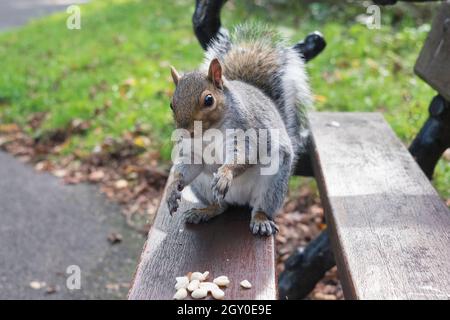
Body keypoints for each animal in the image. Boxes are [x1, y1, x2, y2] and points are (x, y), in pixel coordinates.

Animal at [167, 23, 312, 236]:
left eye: (208, 100)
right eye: (171, 104)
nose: (185, 132)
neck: (207, 133)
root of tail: (239, 199)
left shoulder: (246, 130)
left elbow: (245, 154)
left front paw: (225, 174)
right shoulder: (193, 151)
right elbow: (188, 167)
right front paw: (171, 189)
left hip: (273, 182)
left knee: (261, 205)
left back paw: (261, 219)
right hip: (203, 186)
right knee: (221, 206)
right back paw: (205, 211)